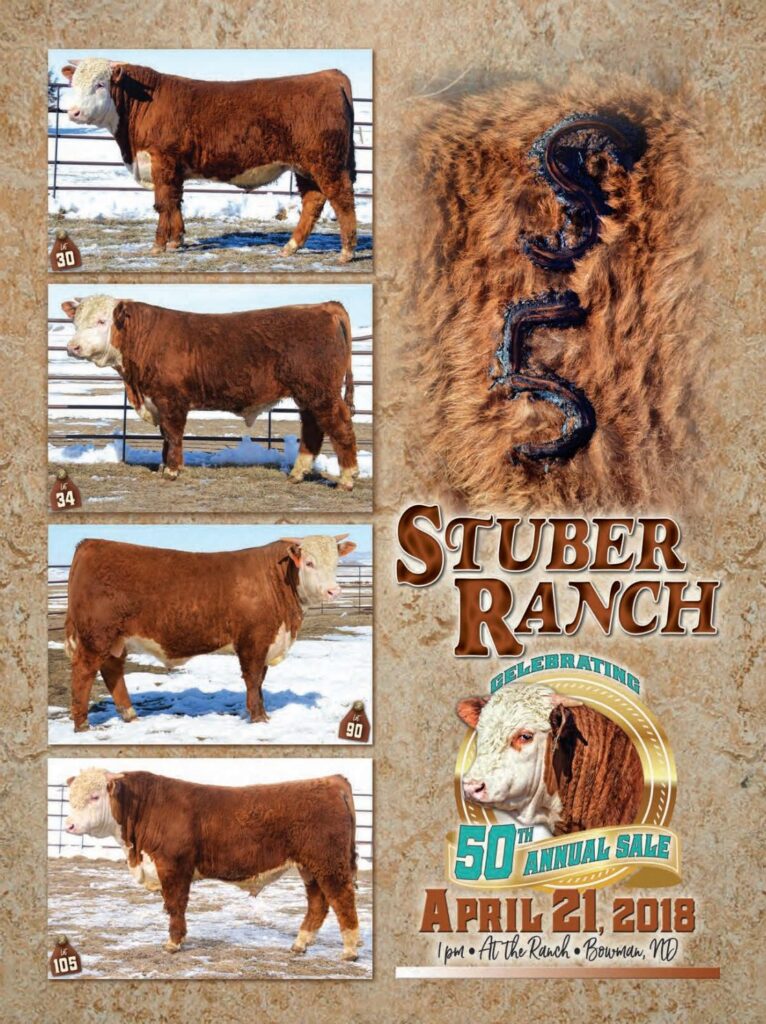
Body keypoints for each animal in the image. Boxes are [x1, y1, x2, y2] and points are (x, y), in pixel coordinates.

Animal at [61, 58, 358, 262]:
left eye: (100, 84)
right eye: (73, 84)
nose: (73, 112)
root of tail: (329, 75)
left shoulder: (162, 160)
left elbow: (163, 203)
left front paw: (159, 245)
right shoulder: (174, 168)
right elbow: (175, 202)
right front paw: (177, 241)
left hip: (327, 162)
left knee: (342, 199)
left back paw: (346, 252)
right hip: (305, 166)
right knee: (313, 201)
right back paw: (291, 247)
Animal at [61, 295, 359, 490]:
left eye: (102, 321)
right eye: (75, 322)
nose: (72, 347)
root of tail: (324, 307)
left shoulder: (171, 400)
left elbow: (173, 435)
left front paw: (171, 471)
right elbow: (165, 436)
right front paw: (164, 466)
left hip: (321, 393)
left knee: (340, 426)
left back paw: (347, 478)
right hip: (308, 394)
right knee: (312, 430)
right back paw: (297, 473)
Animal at [64, 534, 356, 731]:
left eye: (336, 563)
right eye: (309, 562)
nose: (334, 591)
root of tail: (89, 544)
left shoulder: (266, 643)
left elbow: (260, 680)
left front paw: (261, 713)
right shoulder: (253, 641)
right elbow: (253, 679)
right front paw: (258, 718)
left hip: (116, 639)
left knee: (112, 670)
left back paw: (130, 714)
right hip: (96, 636)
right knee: (83, 672)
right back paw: (82, 725)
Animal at [64, 768, 362, 959]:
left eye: (95, 796)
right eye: (70, 797)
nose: (69, 825)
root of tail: (332, 781)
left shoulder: (173, 866)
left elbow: (175, 905)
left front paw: (173, 943)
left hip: (329, 863)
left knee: (342, 899)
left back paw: (349, 950)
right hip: (310, 866)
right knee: (318, 903)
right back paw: (300, 944)